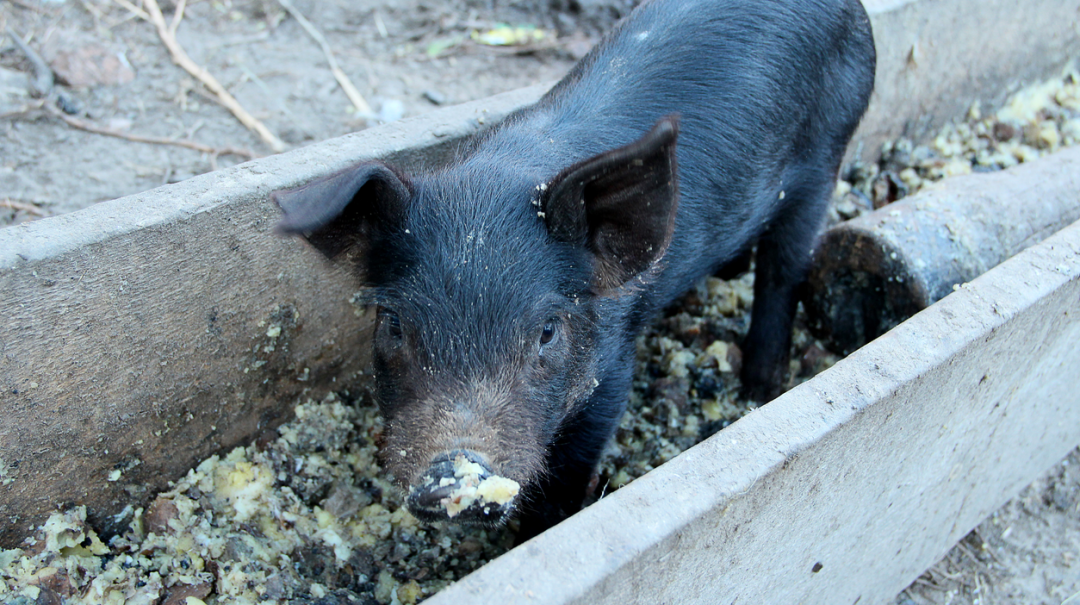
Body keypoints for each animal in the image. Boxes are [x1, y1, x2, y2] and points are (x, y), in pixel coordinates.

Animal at [274, 0, 872, 535]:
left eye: (547, 330)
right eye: (393, 325)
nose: (452, 472)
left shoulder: (612, 366)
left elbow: (569, 471)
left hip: (826, 156)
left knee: (784, 270)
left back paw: (759, 389)